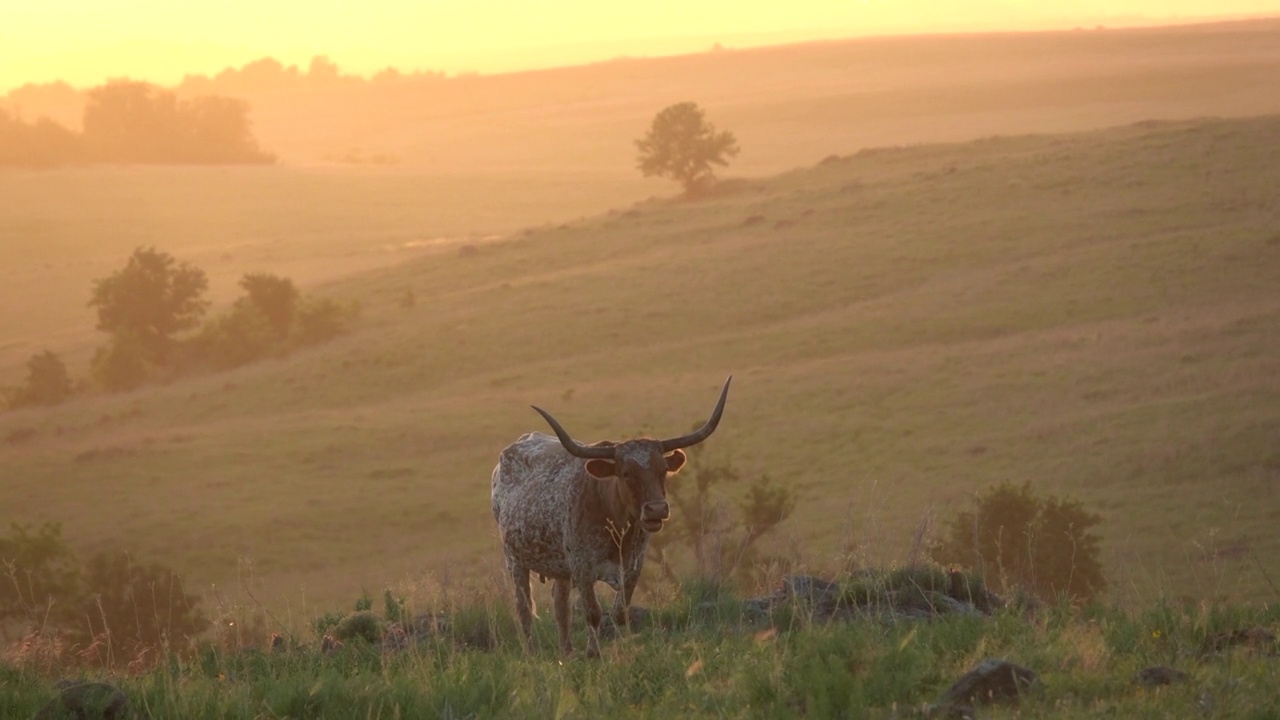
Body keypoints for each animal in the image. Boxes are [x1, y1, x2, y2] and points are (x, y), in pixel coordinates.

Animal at [488, 376, 732, 655]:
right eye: (626, 473)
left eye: (662, 470)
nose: (656, 509)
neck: (616, 527)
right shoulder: (583, 568)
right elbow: (593, 613)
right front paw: (594, 653)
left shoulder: (633, 568)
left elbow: (619, 613)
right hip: (515, 560)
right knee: (524, 608)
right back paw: (532, 652)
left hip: (560, 568)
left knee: (560, 606)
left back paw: (567, 653)